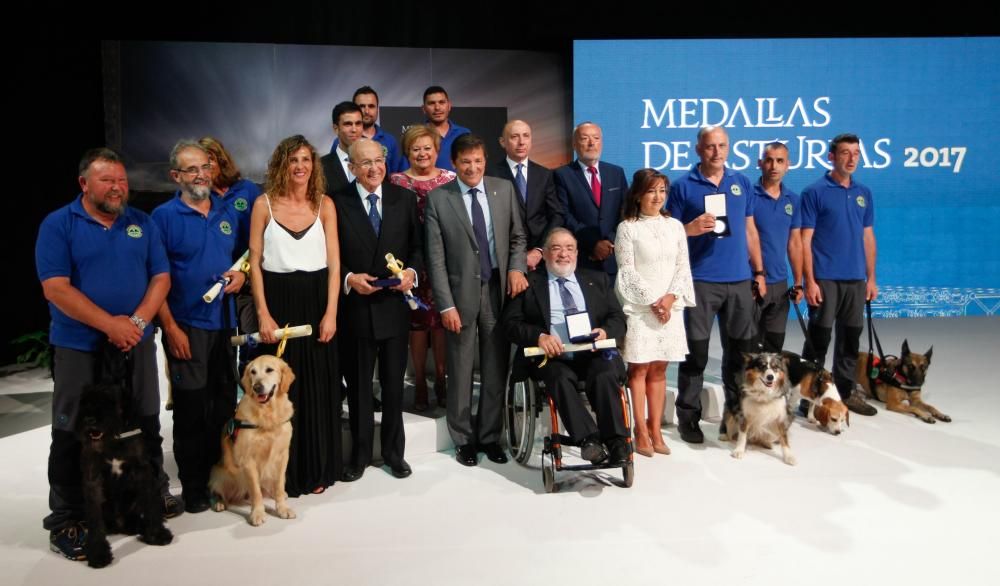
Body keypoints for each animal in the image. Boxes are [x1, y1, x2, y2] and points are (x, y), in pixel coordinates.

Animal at [77, 342, 173, 564]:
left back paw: (142, 528)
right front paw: (97, 552)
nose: (89, 420)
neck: (114, 438)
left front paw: (157, 534)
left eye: (108, 400)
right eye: (84, 401)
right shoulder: (92, 479)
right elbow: (95, 520)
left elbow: (151, 504)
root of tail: (121, 524)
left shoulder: (142, 470)